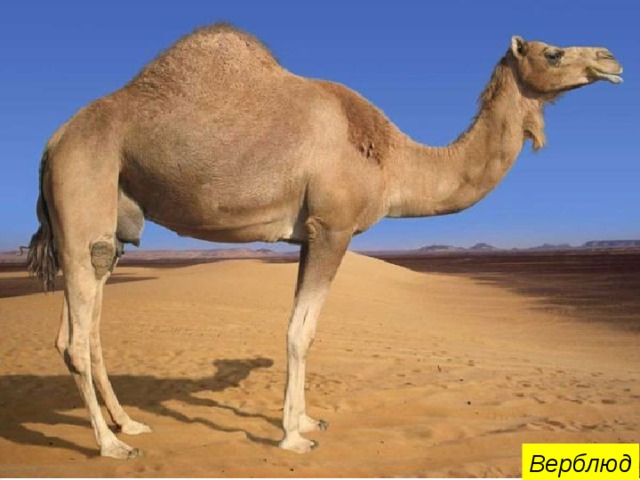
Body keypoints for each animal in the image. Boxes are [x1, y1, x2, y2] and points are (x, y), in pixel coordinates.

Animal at [27, 24, 622, 458]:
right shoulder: (332, 227)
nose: (611, 59)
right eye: (553, 52)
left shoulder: (308, 234)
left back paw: (129, 424)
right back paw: (109, 446)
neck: (394, 158)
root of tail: (53, 141)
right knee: (74, 337)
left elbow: (303, 329)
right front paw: (293, 437)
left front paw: (308, 419)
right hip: (83, 190)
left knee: (89, 324)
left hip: (111, 224)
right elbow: (300, 332)